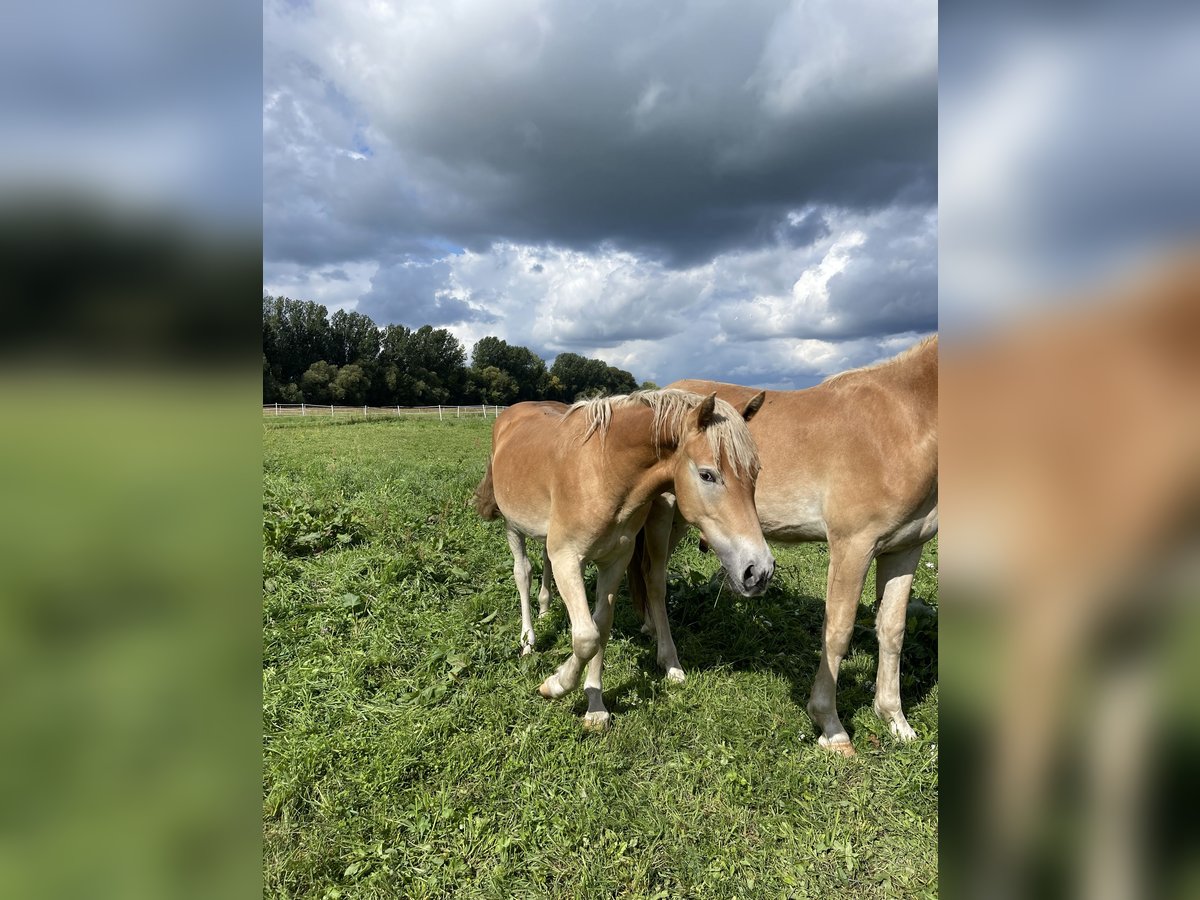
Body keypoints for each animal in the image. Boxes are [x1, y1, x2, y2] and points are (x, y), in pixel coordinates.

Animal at [472, 391, 772, 729]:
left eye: (756, 472)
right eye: (707, 475)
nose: (759, 571)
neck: (604, 471)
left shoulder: (615, 561)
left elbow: (600, 627)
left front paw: (595, 705)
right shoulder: (568, 559)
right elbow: (586, 636)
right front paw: (556, 684)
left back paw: (546, 609)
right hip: (513, 525)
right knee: (522, 573)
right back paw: (528, 640)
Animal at [628, 336, 936, 753]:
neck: (901, 421)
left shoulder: (904, 549)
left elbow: (892, 630)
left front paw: (895, 720)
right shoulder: (853, 546)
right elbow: (837, 632)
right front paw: (831, 726)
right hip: (665, 514)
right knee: (654, 578)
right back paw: (669, 661)